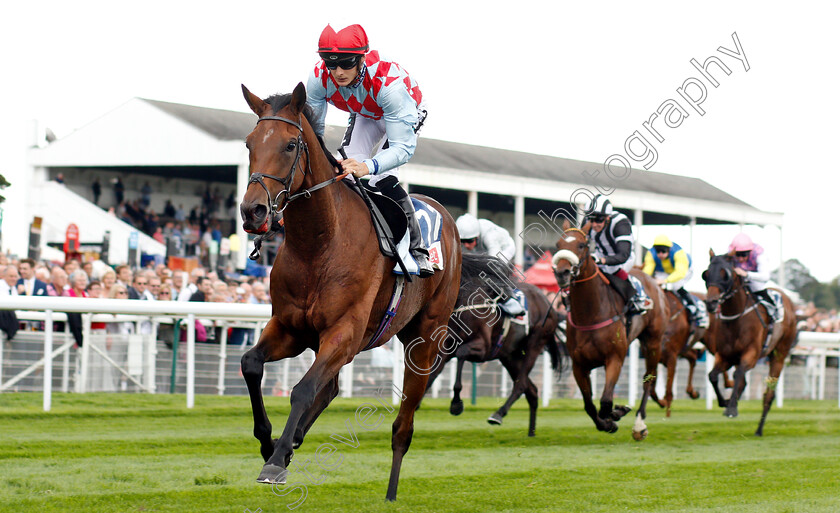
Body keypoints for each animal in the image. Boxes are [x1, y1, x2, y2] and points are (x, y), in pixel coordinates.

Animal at [236, 84, 462, 500]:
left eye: (290, 145)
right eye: (248, 143)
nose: (253, 212)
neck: (320, 243)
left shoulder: (344, 332)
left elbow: (303, 389)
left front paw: (275, 461)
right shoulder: (290, 328)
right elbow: (251, 364)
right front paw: (269, 443)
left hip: (424, 339)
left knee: (404, 420)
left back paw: (390, 489)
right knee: (331, 389)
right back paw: (291, 443)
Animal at [424, 272, 568, 436]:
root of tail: (551, 307)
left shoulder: (482, 348)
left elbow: (461, 354)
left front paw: (456, 404)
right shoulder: (446, 348)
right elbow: (432, 374)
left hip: (535, 344)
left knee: (521, 384)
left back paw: (498, 414)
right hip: (510, 356)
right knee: (531, 390)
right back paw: (531, 433)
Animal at [552, 224, 668, 440]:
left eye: (582, 245)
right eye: (558, 244)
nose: (562, 272)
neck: (591, 313)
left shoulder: (615, 358)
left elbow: (605, 401)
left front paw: (615, 414)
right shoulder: (579, 365)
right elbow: (589, 405)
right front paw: (608, 421)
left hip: (653, 341)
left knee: (648, 380)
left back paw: (639, 425)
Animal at [700, 250, 796, 434]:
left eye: (725, 274)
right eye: (706, 274)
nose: (711, 303)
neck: (736, 319)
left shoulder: (751, 354)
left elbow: (738, 374)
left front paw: (731, 408)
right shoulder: (724, 356)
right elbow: (712, 375)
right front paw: (725, 402)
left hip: (779, 355)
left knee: (768, 394)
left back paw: (759, 429)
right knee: (743, 382)